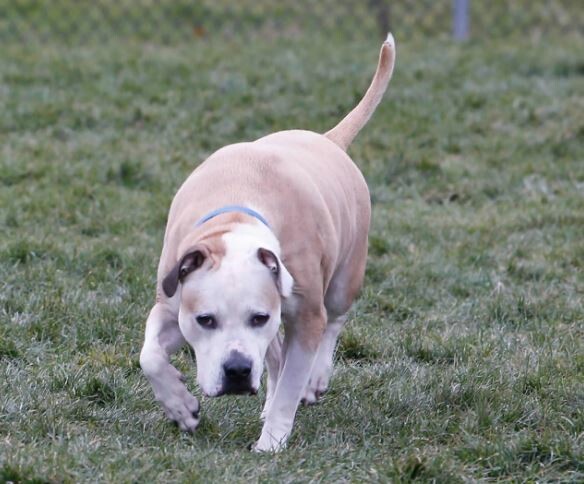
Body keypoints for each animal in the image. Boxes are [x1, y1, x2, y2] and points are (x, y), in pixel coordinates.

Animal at [139, 33, 396, 450]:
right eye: (205, 320)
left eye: (258, 317)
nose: (238, 370)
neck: (238, 217)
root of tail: (328, 139)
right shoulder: (173, 302)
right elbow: (149, 356)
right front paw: (180, 406)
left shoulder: (305, 318)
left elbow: (292, 383)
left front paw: (271, 443)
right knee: (275, 356)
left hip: (345, 276)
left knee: (334, 320)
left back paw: (315, 378)